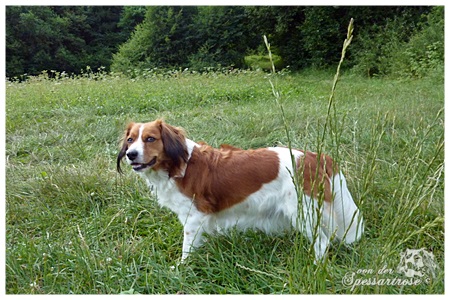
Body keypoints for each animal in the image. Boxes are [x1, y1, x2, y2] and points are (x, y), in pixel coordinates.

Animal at [116, 119, 362, 262]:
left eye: (150, 139)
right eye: (130, 140)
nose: (131, 154)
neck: (179, 164)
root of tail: (315, 157)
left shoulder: (194, 216)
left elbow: (187, 247)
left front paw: (181, 269)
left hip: (303, 212)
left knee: (321, 242)